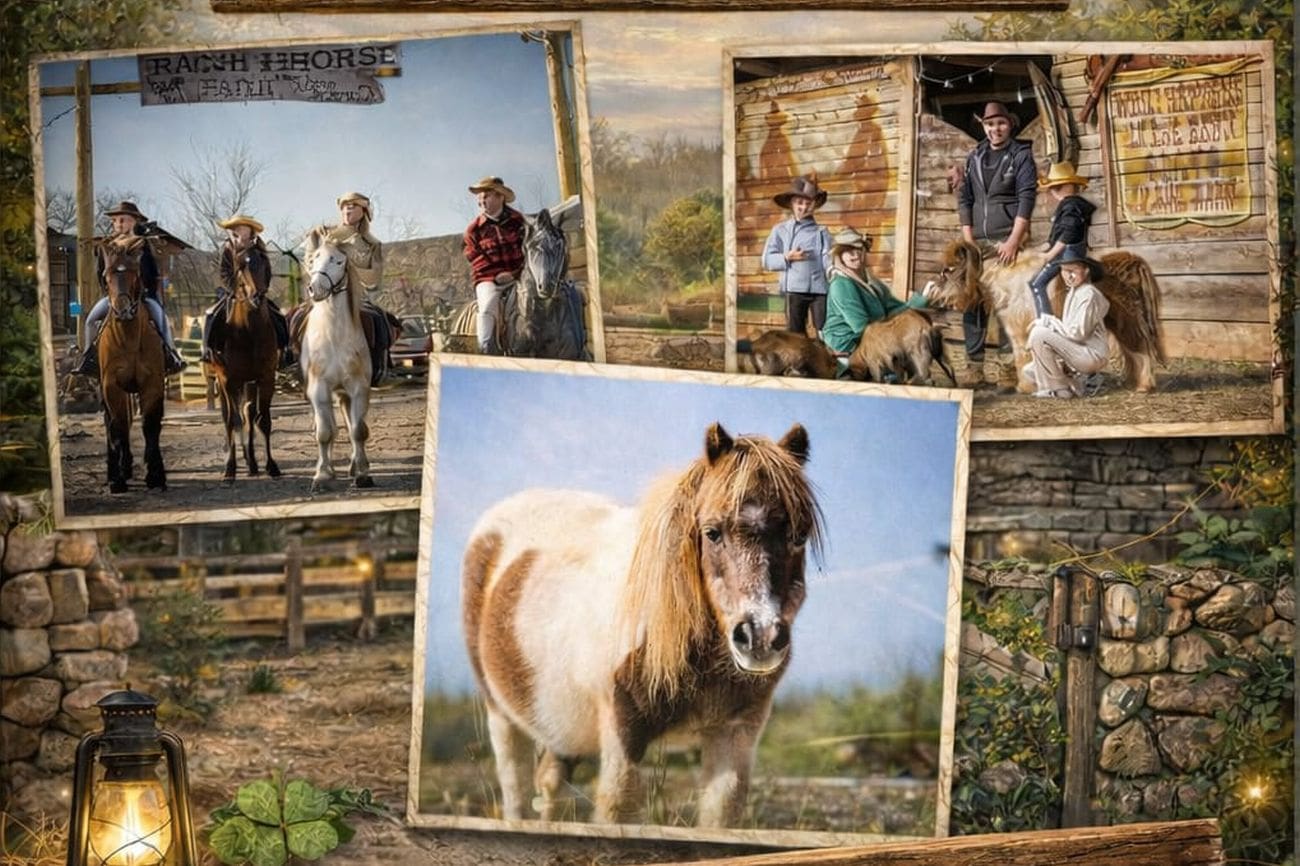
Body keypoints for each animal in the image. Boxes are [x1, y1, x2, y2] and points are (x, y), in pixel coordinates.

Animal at [96, 236, 166, 494]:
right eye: (106, 275)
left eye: (134, 273)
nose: (123, 310)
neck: (128, 337)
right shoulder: (111, 386)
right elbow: (117, 428)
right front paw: (117, 480)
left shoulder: (152, 383)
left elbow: (150, 425)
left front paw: (155, 475)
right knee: (113, 424)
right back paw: (116, 469)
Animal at [209, 264, 281, 481]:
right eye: (241, 267)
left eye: (263, 263)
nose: (257, 296)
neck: (248, 331)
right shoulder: (228, 380)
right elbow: (233, 420)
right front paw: (230, 469)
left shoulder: (266, 378)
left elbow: (262, 420)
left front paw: (271, 466)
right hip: (223, 382)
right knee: (229, 417)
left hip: (248, 383)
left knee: (248, 412)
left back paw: (252, 463)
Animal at [299, 242, 372, 492]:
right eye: (313, 260)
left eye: (339, 261)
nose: (315, 288)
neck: (334, 336)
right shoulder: (319, 389)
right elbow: (324, 432)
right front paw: (322, 474)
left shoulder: (358, 389)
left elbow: (358, 431)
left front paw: (363, 473)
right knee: (329, 427)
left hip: (343, 394)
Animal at [462, 422, 822, 827]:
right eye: (712, 532)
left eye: (798, 535)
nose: (760, 637)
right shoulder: (624, 733)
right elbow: (617, 808)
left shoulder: (736, 734)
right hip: (502, 716)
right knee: (517, 790)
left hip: (560, 725)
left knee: (549, 784)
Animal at [923, 240, 1164, 393]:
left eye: (948, 269)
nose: (929, 292)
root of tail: (1133, 261)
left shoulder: (1019, 328)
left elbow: (1022, 356)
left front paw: (1025, 388)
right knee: (1132, 351)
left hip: (1128, 320)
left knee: (1141, 349)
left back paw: (1143, 387)